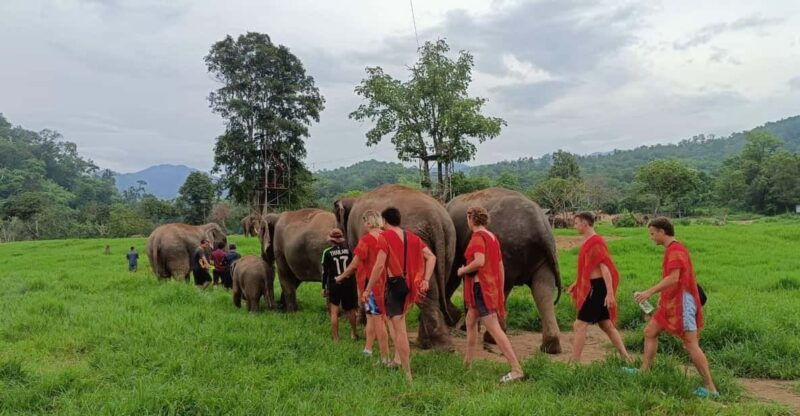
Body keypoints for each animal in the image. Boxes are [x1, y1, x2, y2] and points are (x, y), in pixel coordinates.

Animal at [335, 185, 457, 350]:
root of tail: (435, 219)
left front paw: (363, 324)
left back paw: (440, 348)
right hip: (449, 242)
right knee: (434, 288)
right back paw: (426, 343)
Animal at [446, 187, 562, 353]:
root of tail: (540, 227)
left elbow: (455, 273)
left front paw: (461, 324)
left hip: (506, 249)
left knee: (503, 286)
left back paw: (492, 338)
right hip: (542, 256)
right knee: (543, 289)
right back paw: (551, 346)